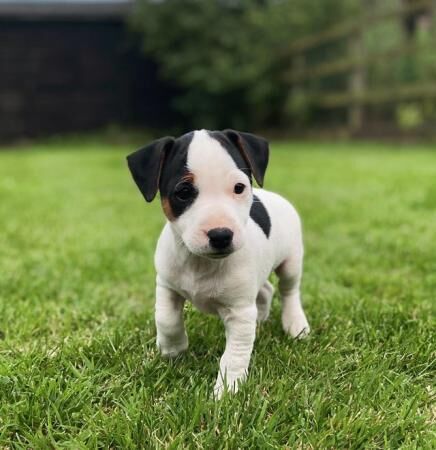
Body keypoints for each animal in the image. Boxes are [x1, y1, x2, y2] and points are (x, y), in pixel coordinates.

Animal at [126, 129, 310, 398]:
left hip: (291, 262)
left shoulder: (240, 312)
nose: (221, 235)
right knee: (266, 289)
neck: (200, 262)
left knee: (289, 291)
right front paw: (172, 350)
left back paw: (295, 323)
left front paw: (227, 391)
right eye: (183, 191)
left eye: (239, 187)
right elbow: (166, 319)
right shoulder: (167, 285)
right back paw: (261, 318)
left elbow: (234, 355)